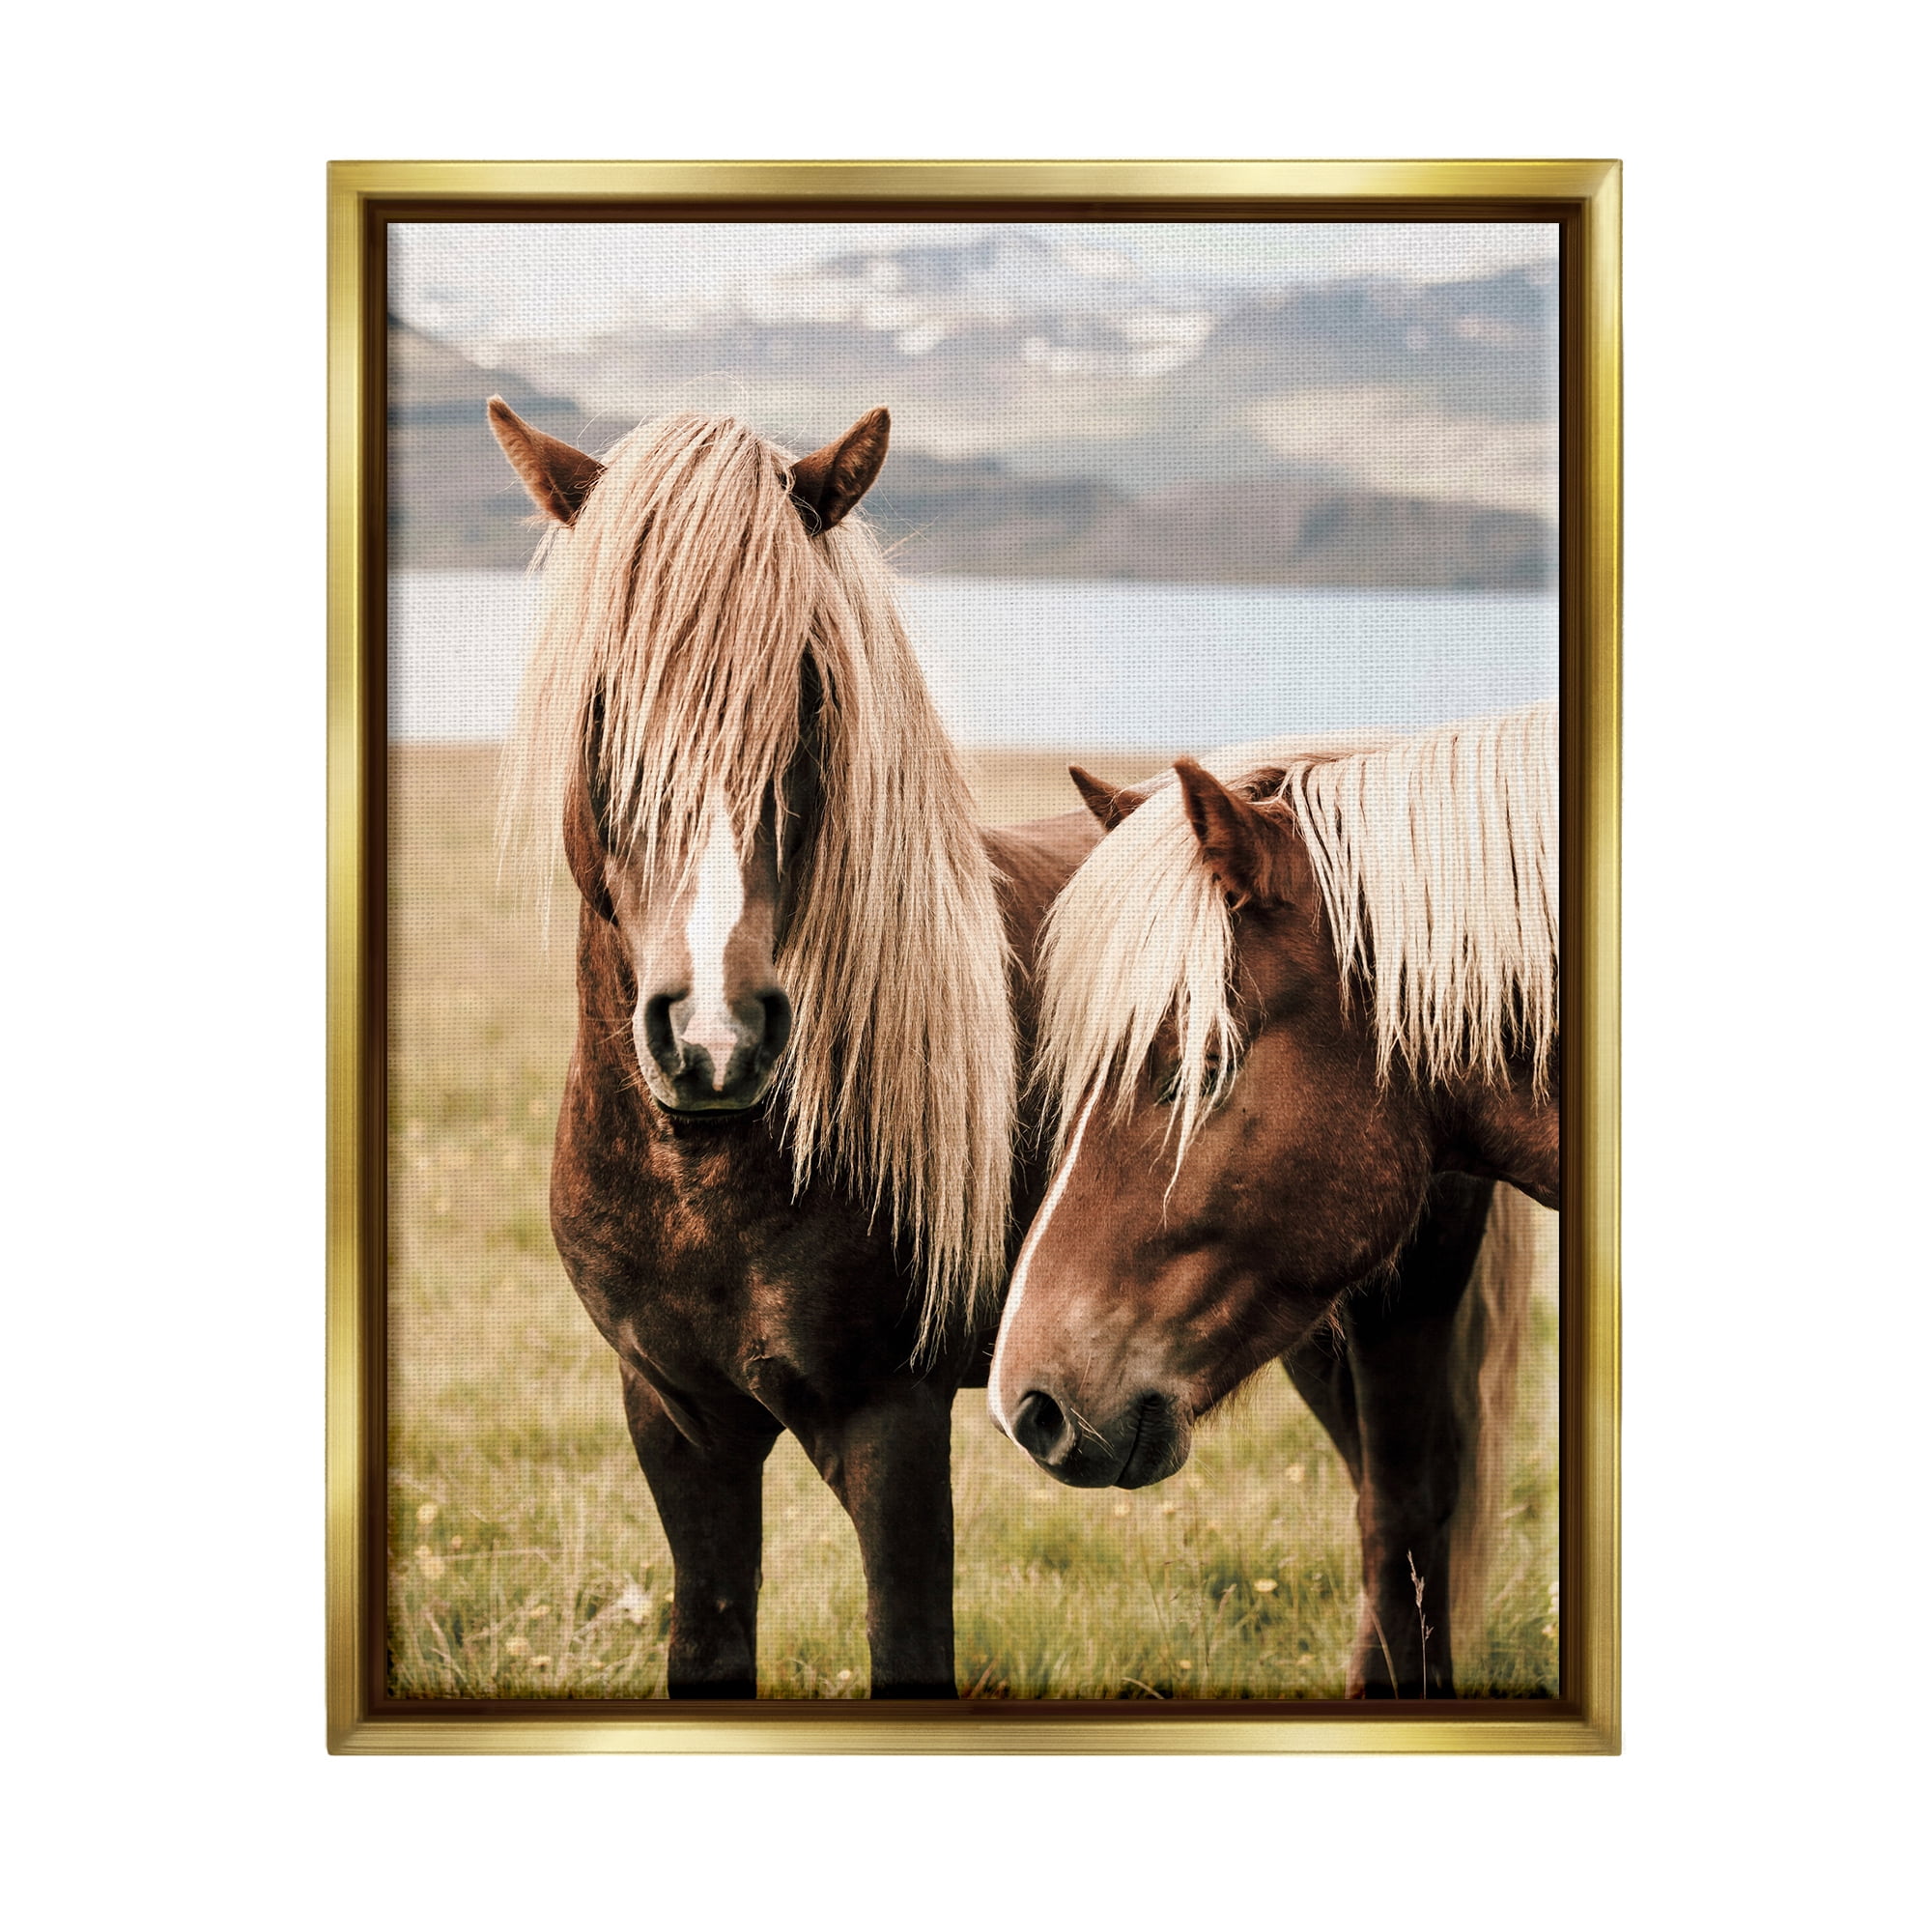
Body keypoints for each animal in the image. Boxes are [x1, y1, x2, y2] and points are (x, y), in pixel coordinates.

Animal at [487, 398, 1101, 1697]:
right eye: (602, 700)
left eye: (808, 694)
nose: (714, 1036)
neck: (708, 1180)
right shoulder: (676, 1416)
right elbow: (710, 1640)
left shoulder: (890, 1421)